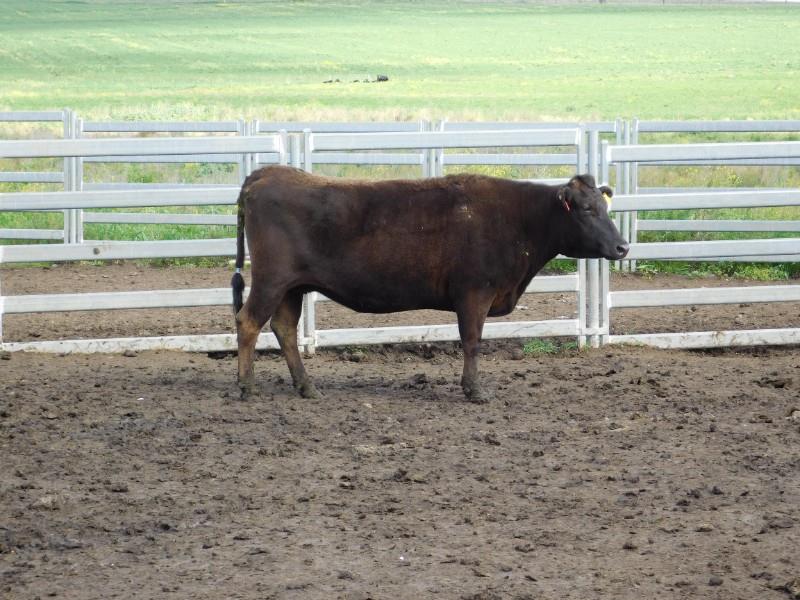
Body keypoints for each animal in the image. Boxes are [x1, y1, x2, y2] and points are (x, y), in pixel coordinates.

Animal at [231, 166, 629, 403]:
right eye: (587, 210)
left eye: (605, 207)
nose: (623, 247)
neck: (520, 220)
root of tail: (267, 174)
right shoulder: (474, 293)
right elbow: (472, 341)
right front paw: (474, 390)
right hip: (271, 280)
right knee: (248, 322)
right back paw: (246, 386)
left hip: (292, 288)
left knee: (284, 328)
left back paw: (306, 386)